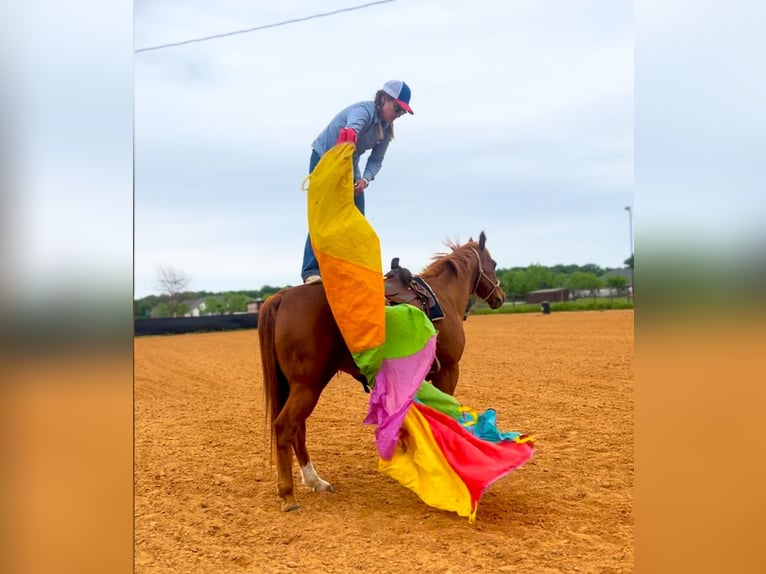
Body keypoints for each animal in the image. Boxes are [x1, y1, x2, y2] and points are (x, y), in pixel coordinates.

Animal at [260, 232, 508, 510]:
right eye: (493, 263)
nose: (500, 296)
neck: (443, 297)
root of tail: (282, 297)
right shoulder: (448, 371)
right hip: (308, 385)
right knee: (285, 426)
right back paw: (288, 495)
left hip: (299, 386)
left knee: (297, 427)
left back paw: (315, 481)